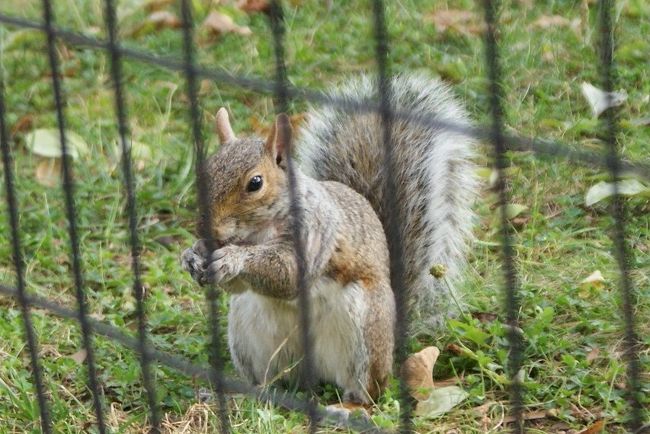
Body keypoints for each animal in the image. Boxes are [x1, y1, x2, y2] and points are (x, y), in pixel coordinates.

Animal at [180, 73, 474, 404]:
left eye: (255, 183)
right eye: (204, 171)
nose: (205, 229)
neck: (256, 231)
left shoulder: (315, 231)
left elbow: (287, 274)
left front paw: (234, 257)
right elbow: (238, 285)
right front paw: (192, 256)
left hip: (364, 326)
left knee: (368, 390)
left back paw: (350, 404)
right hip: (250, 332)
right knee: (274, 380)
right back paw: (249, 394)